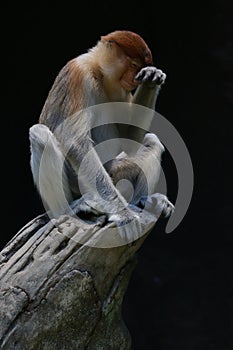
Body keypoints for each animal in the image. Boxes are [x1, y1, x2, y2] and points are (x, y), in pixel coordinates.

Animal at [29, 30, 174, 242]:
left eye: (139, 68)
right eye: (133, 65)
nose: (135, 79)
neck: (98, 71)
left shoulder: (121, 89)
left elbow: (129, 140)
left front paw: (151, 78)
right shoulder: (78, 73)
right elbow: (75, 141)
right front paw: (124, 214)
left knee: (152, 142)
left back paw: (141, 201)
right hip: (77, 183)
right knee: (39, 133)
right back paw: (70, 210)